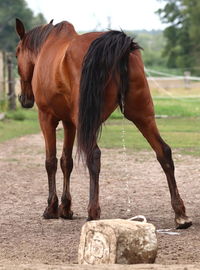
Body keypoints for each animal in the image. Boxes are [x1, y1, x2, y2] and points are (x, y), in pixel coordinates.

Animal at [14, 17, 191, 229]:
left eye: (16, 54)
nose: (24, 99)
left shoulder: (47, 118)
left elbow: (51, 161)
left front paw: (52, 208)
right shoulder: (69, 123)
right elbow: (66, 161)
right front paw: (66, 208)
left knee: (94, 155)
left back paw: (93, 212)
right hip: (143, 115)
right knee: (163, 152)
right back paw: (180, 214)